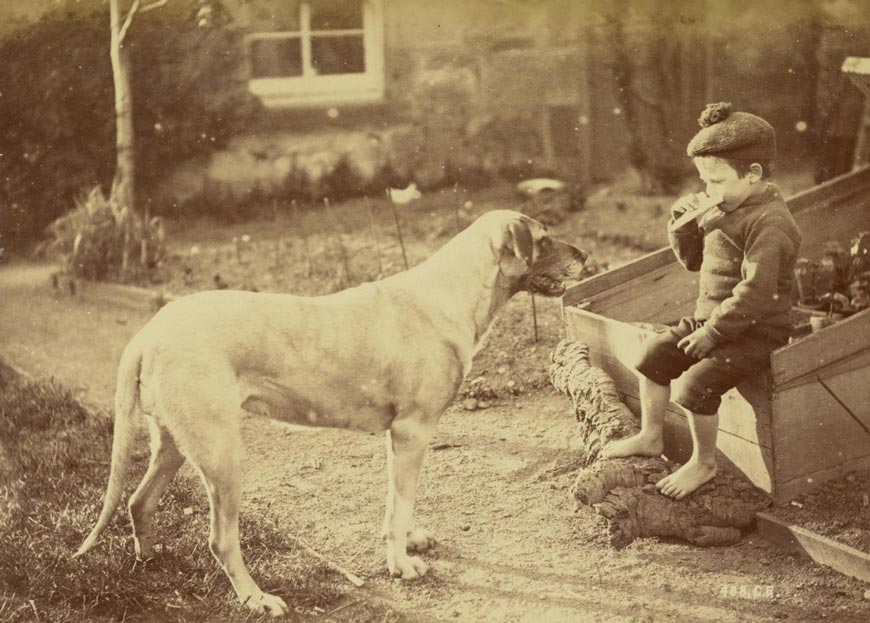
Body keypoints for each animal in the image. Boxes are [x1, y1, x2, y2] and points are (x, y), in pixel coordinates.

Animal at [75, 208, 588, 616]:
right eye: (543, 240)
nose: (585, 255)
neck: (453, 292)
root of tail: (149, 333)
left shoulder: (399, 439)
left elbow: (395, 502)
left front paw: (406, 543)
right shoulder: (412, 432)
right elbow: (402, 502)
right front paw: (402, 564)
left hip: (175, 445)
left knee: (139, 501)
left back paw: (150, 562)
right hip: (222, 457)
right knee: (221, 539)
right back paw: (256, 599)